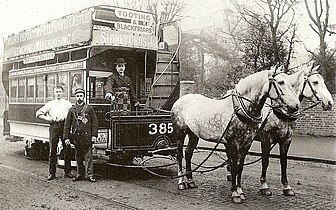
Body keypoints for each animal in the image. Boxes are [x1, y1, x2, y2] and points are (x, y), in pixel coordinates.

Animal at [171, 66, 300, 203]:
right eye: (281, 82)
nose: (296, 105)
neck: (240, 109)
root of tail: (180, 99)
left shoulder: (246, 144)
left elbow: (240, 167)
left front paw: (240, 190)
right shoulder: (233, 143)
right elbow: (233, 166)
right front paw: (235, 193)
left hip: (193, 134)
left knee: (188, 153)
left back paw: (190, 181)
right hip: (180, 133)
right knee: (180, 155)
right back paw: (181, 182)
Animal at [255, 64, 334, 197]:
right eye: (315, 82)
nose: (330, 103)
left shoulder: (286, 140)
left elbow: (284, 162)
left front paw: (286, 187)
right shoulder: (266, 139)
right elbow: (265, 161)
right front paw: (264, 186)